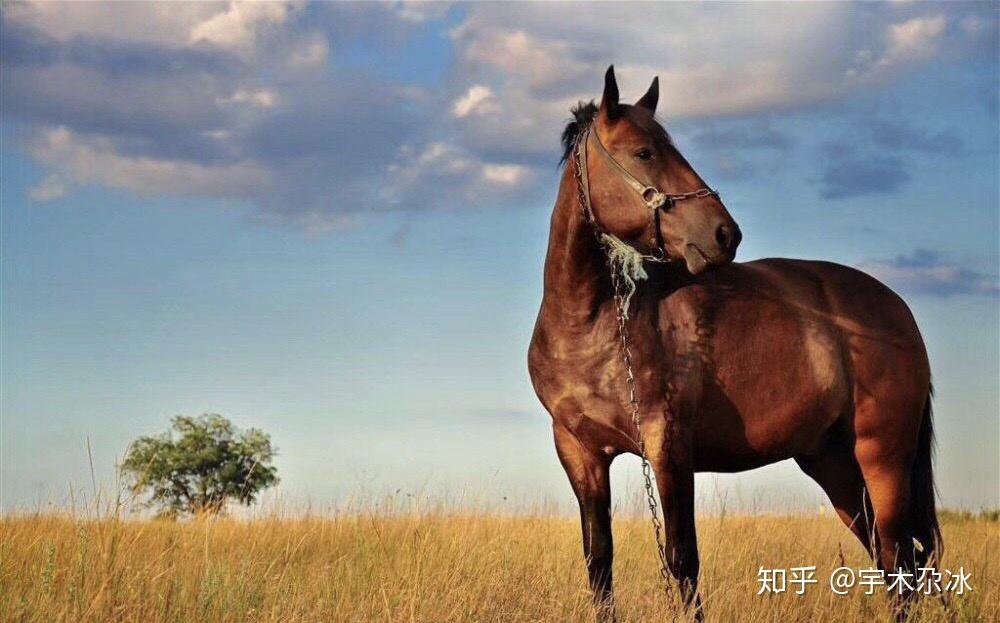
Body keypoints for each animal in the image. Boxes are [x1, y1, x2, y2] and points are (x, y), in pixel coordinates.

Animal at [527, 66, 938, 621]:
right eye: (643, 152)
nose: (726, 234)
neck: (591, 324)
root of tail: (899, 311)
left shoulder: (668, 446)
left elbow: (682, 560)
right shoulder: (579, 451)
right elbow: (599, 561)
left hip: (883, 457)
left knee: (898, 560)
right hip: (832, 464)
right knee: (887, 556)